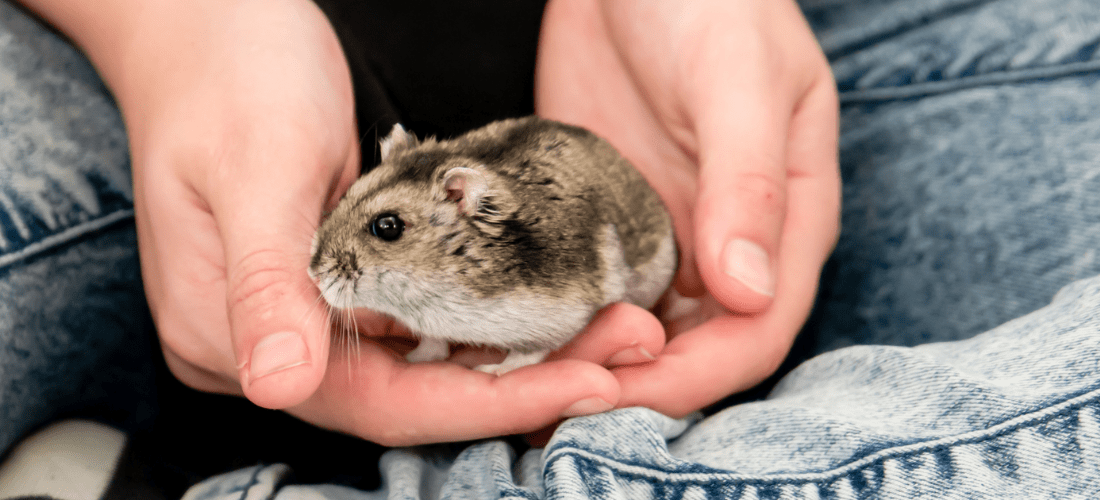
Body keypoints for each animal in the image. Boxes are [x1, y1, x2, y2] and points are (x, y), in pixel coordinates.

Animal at [305, 116, 673, 375]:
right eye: (347, 194)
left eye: (388, 227)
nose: (313, 273)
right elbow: (432, 342)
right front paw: (416, 358)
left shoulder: (557, 315)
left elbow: (528, 353)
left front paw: (492, 370)